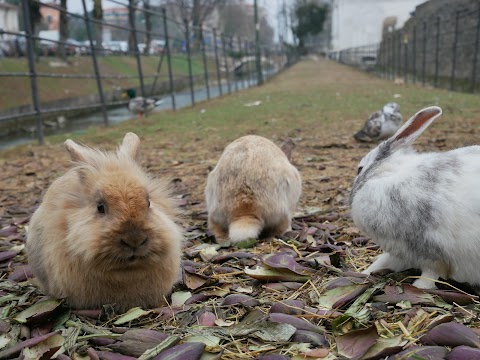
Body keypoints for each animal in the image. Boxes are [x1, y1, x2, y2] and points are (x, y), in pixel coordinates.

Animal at [348, 107, 480, 290]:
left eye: (360, 169)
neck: (388, 173)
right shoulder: (401, 253)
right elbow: (384, 261)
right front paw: (365, 272)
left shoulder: (431, 253)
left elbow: (430, 274)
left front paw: (419, 286)